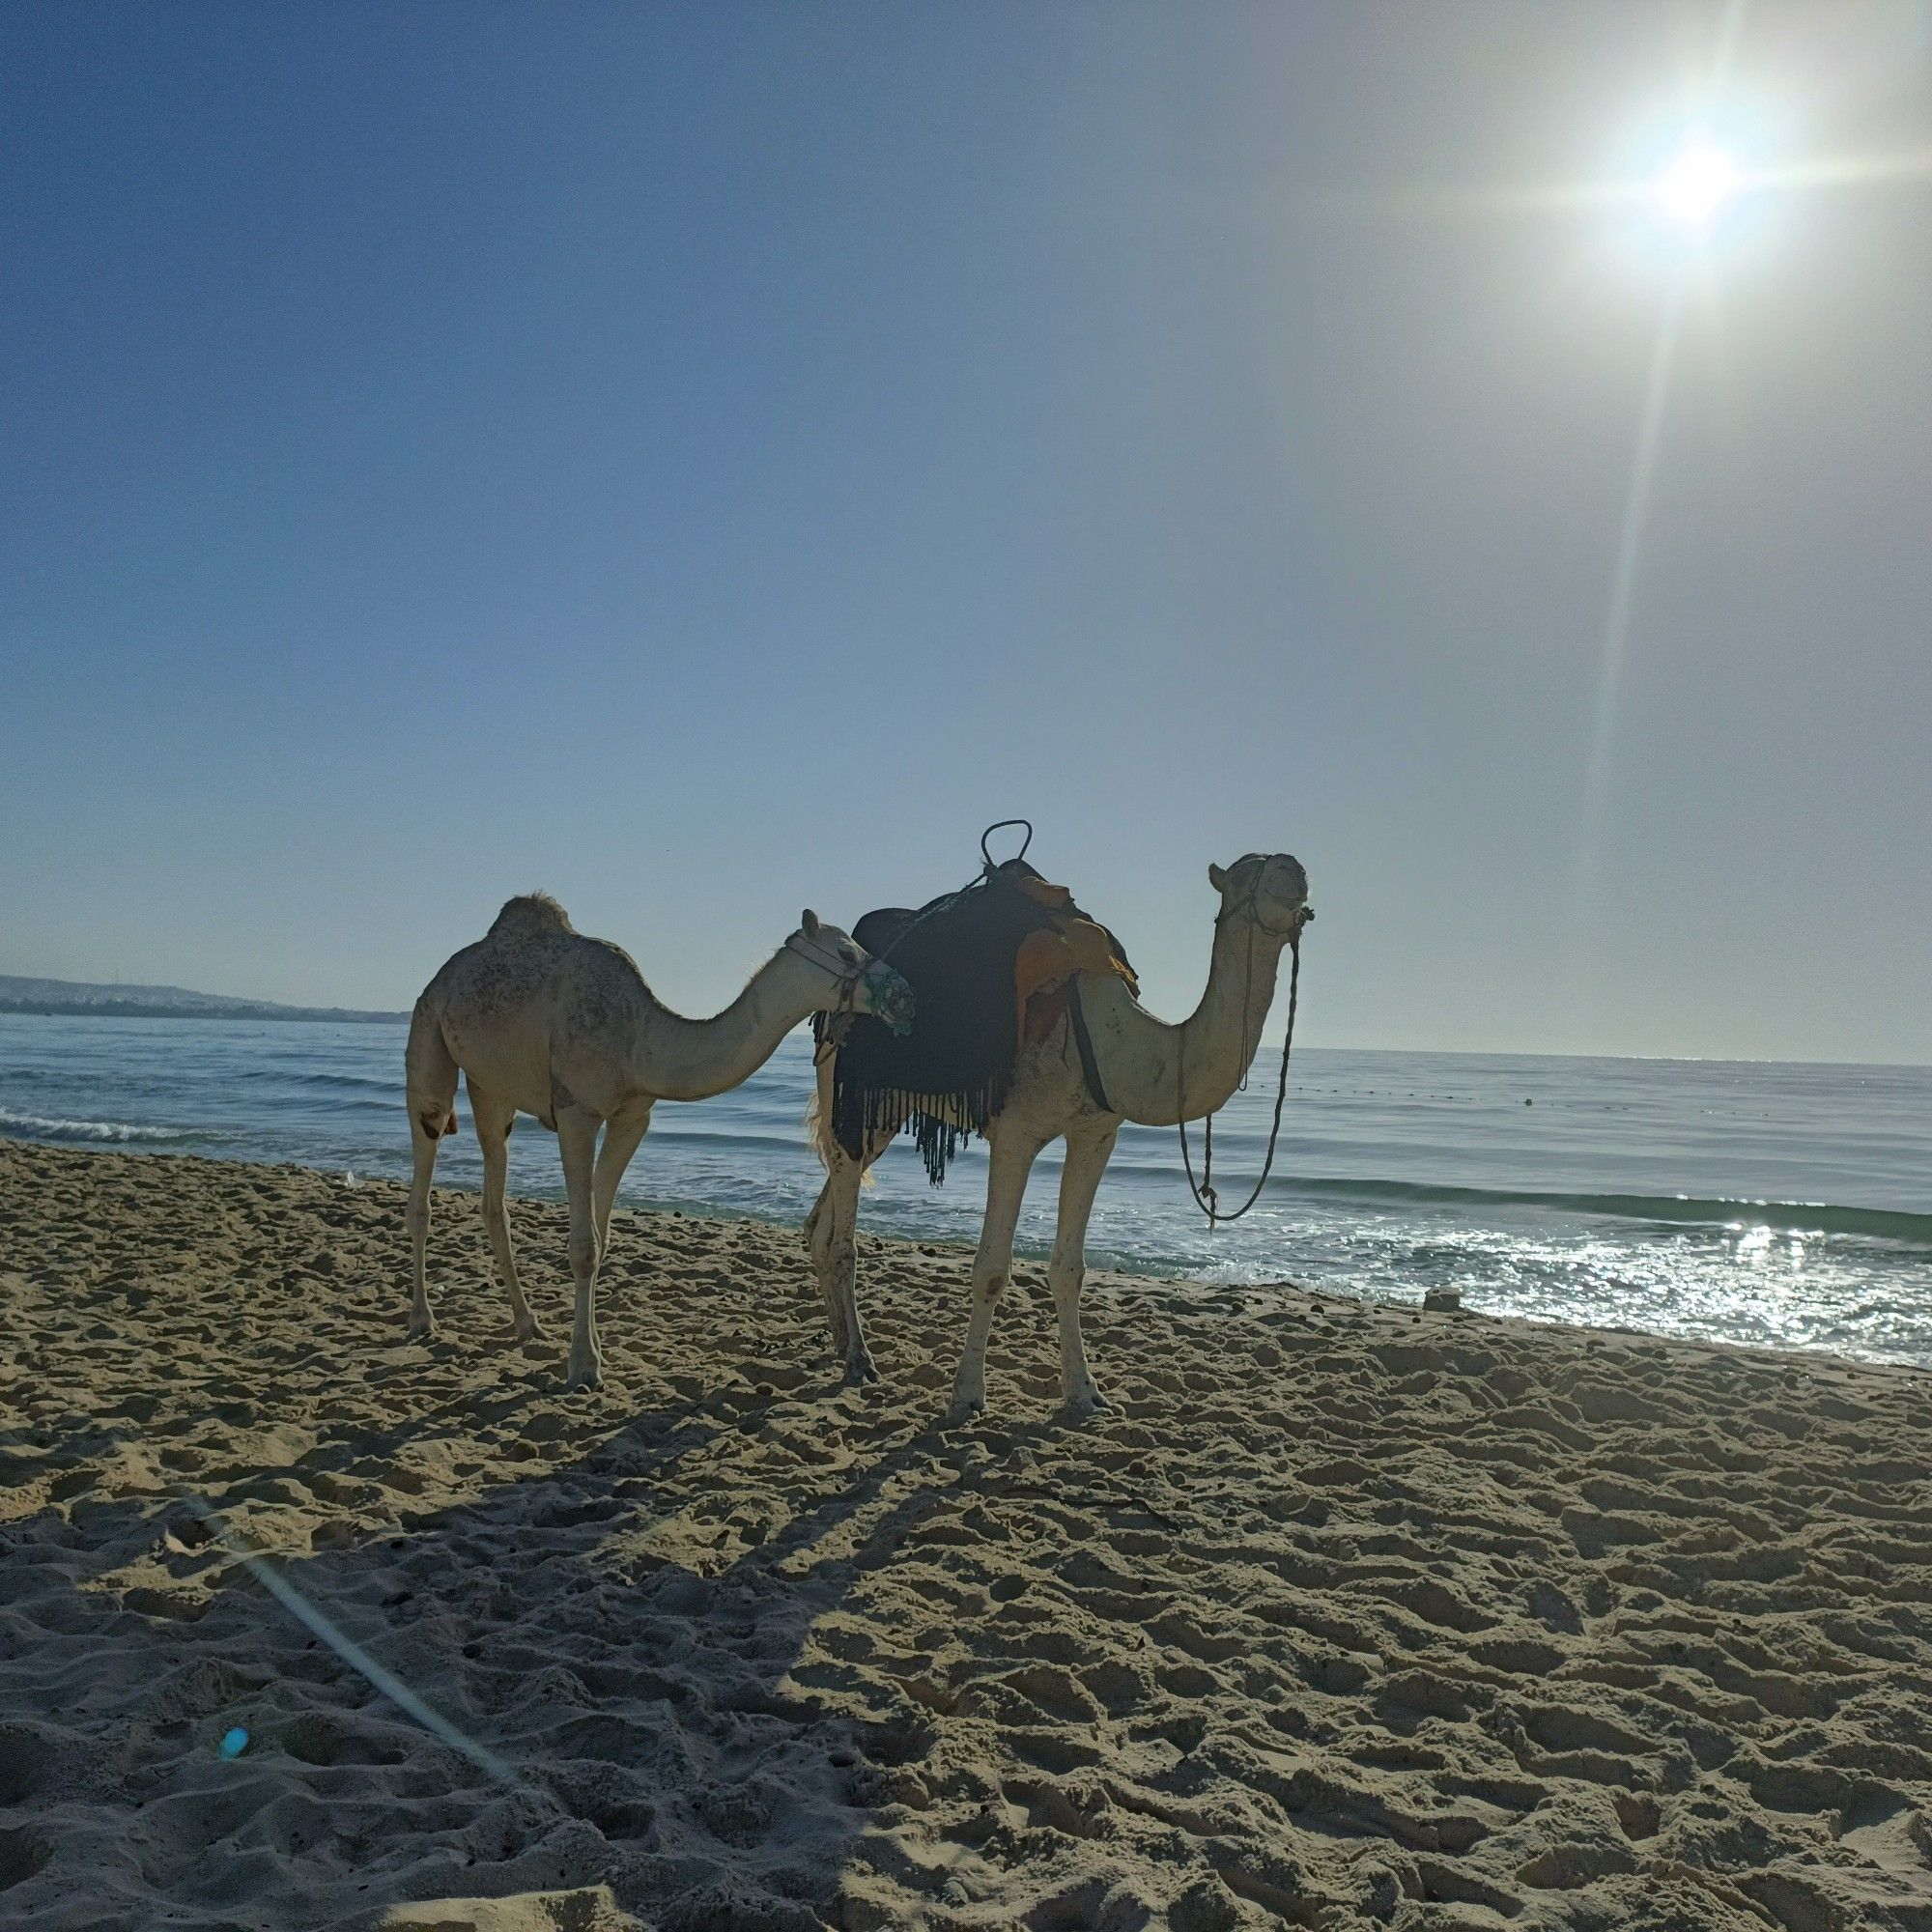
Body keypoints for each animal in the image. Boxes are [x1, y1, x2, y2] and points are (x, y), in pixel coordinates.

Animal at [402, 889, 912, 1391]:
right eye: (846, 952)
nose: (902, 990)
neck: (638, 1038)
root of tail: (444, 975)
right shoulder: (576, 1111)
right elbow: (583, 1246)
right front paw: (583, 1367)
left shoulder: (633, 1117)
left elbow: (602, 1236)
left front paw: (595, 1349)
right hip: (428, 1035)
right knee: (424, 1172)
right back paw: (422, 1319)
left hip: (491, 1088)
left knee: (494, 1198)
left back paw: (528, 1323)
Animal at [800, 854, 1314, 1430]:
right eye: (1248, 873)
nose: (1293, 868)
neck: (1115, 1038)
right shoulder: (1016, 1133)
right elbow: (991, 1270)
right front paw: (966, 1397)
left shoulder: (1096, 1133)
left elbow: (1071, 1269)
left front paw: (1085, 1395)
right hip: (850, 1090)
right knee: (843, 1230)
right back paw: (860, 1360)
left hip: (882, 1114)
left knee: (822, 1222)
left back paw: (842, 1345)